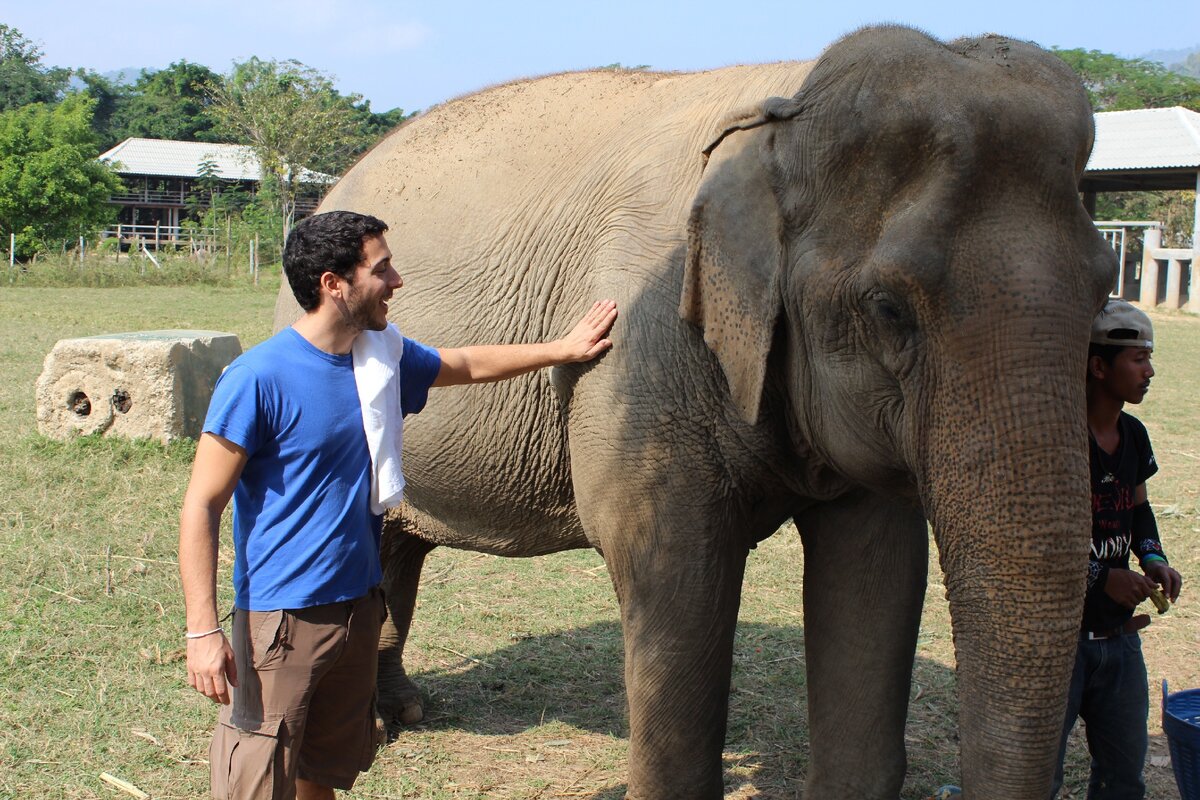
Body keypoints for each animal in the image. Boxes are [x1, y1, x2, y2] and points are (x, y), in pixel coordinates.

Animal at [272, 25, 1113, 800]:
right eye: (887, 308)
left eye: (1106, 285)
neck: (785, 104)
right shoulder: (641, 355)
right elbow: (675, 570)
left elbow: (877, 573)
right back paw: (382, 726)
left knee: (396, 544)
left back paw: (401, 713)